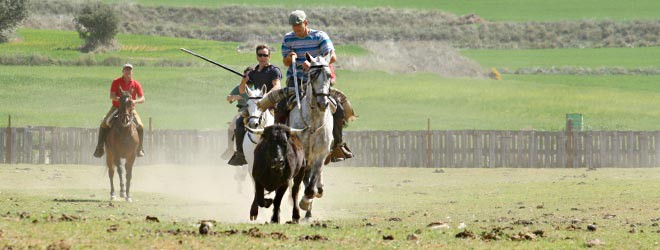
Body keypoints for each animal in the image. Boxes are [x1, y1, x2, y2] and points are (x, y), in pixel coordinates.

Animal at [288, 53, 336, 219]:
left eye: (329, 75)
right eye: (312, 75)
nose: (323, 103)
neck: (313, 124)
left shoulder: (320, 155)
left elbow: (311, 183)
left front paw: (306, 202)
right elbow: (300, 184)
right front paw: (302, 204)